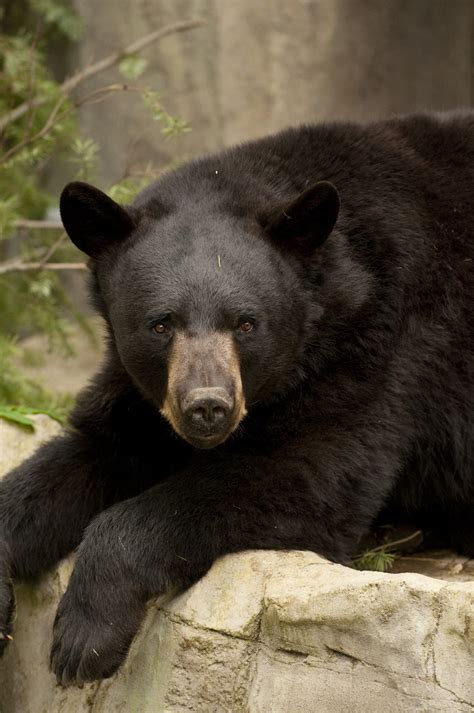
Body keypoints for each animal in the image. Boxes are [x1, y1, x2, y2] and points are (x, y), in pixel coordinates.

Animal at [0, 108, 472, 680]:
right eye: (161, 324)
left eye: (246, 323)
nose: (207, 407)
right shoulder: (142, 398)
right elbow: (88, 453)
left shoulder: (381, 352)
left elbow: (306, 474)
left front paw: (83, 639)